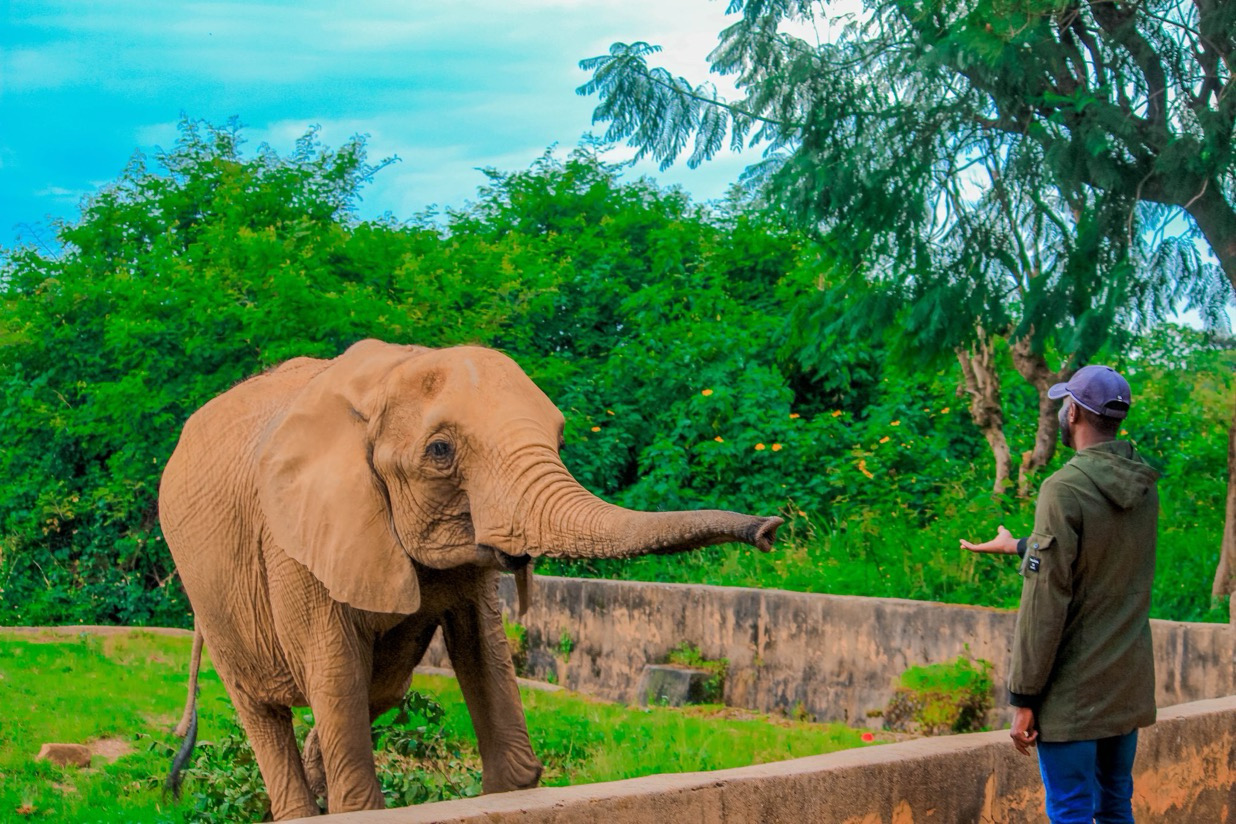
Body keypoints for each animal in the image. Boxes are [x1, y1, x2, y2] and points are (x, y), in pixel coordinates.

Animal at [159, 340, 781, 820]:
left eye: (558, 442)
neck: (387, 376)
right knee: (267, 709)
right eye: (440, 451)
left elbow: (485, 649)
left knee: (380, 688)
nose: (771, 529)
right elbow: (335, 672)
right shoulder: (297, 542)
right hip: (210, 592)